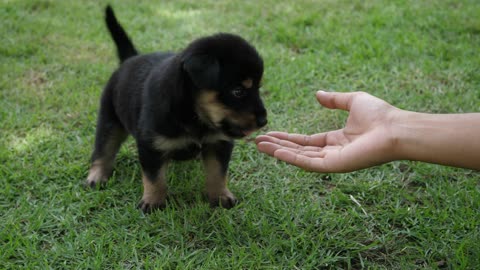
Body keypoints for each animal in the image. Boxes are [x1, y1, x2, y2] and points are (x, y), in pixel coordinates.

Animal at [85, 5, 266, 213]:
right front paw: (153, 202)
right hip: (109, 118)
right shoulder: (150, 146)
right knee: (104, 148)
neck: (193, 116)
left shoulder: (218, 143)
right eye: (238, 91)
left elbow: (217, 173)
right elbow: (154, 179)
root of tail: (130, 59)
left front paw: (220, 196)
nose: (264, 121)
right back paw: (97, 176)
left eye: (258, 88)